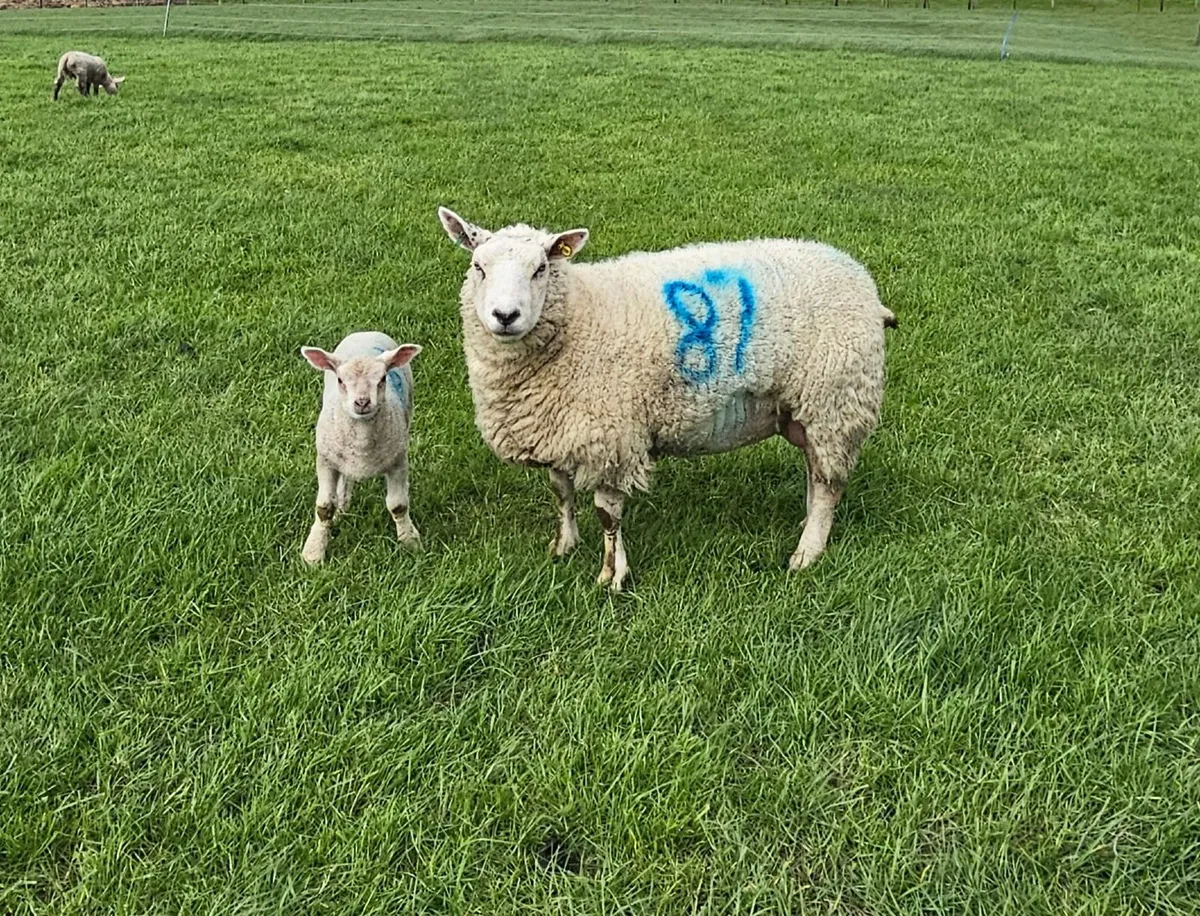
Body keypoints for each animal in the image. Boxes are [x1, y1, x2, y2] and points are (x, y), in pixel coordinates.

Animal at [299, 331, 422, 564]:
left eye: (382, 379)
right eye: (340, 380)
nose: (362, 402)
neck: (362, 443)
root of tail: (367, 332)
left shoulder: (398, 462)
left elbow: (398, 506)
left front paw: (409, 542)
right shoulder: (326, 461)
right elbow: (324, 508)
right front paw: (313, 553)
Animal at [437, 207, 897, 593]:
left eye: (541, 269)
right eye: (478, 267)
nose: (505, 316)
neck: (578, 317)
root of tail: (862, 281)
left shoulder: (613, 438)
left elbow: (607, 514)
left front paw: (612, 577)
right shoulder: (561, 427)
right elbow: (561, 492)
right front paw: (564, 545)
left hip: (834, 400)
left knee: (827, 483)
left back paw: (807, 552)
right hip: (806, 409)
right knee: (815, 473)